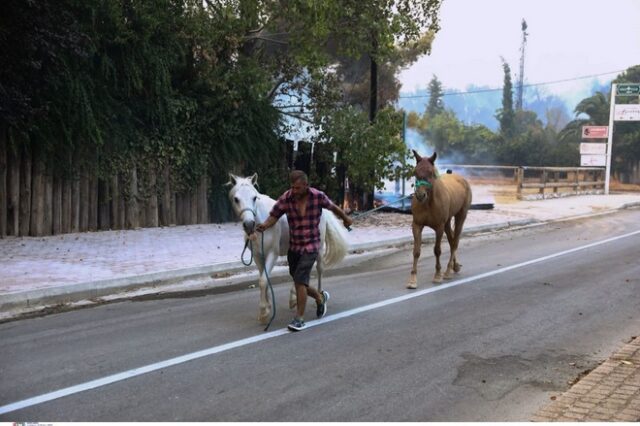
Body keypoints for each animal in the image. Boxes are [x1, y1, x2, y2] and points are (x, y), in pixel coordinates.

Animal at [228, 172, 350, 322]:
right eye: (236, 199)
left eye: (254, 197)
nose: (249, 224)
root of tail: (323, 211)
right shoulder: (258, 256)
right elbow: (263, 279)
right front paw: (268, 306)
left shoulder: (272, 254)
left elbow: (263, 280)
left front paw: (263, 312)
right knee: (298, 273)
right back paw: (294, 298)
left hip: (319, 248)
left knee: (319, 270)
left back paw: (319, 297)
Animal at [408, 151, 472, 290]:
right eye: (415, 172)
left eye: (431, 172)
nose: (420, 195)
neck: (428, 203)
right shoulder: (417, 225)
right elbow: (416, 251)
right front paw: (412, 280)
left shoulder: (439, 227)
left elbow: (437, 250)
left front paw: (437, 275)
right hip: (447, 222)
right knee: (452, 240)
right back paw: (455, 266)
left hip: (461, 216)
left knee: (455, 242)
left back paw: (447, 271)